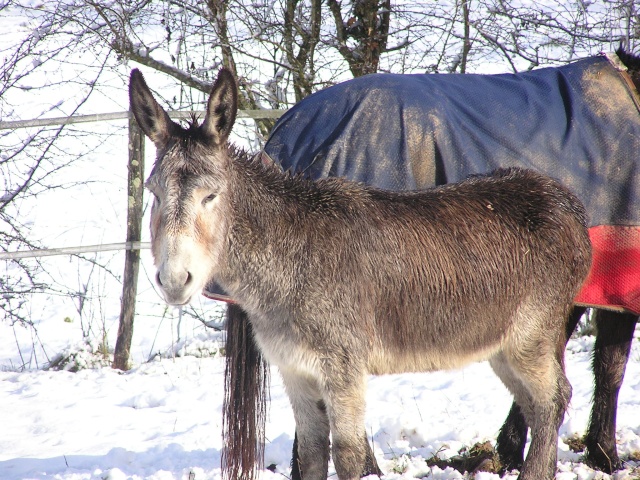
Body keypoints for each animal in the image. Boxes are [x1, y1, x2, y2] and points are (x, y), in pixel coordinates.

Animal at [131, 67, 596, 480]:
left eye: (210, 196)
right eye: (153, 194)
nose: (174, 280)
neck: (277, 279)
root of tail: (572, 206)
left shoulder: (344, 365)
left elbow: (349, 455)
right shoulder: (293, 370)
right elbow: (311, 455)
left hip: (534, 332)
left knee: (553, 398)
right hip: (501, 343)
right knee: (538, 403)